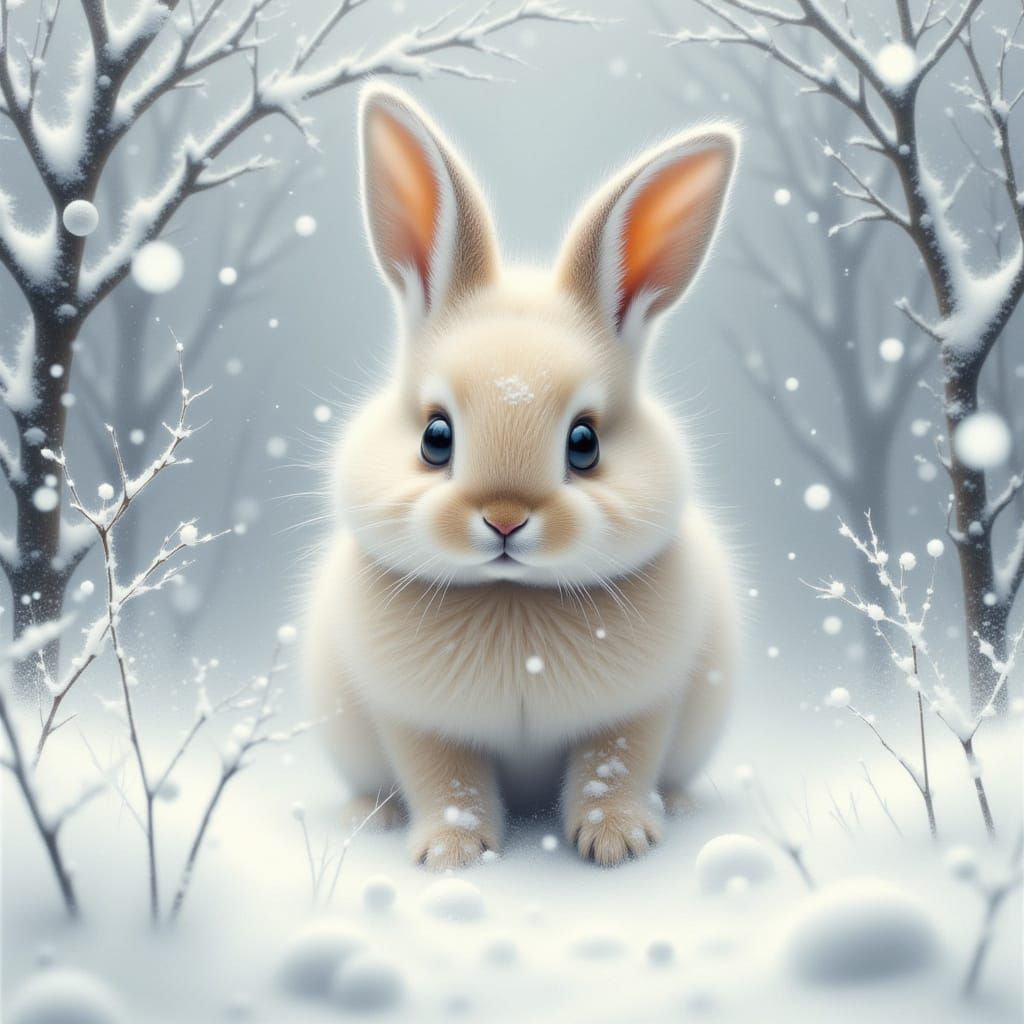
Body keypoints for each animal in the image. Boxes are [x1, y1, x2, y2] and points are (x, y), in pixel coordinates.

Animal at [305, 83, 741, 869]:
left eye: (584, 443)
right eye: (435, 437)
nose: (504, 518)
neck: (512, 598)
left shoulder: (639, 708)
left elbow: (615, 767)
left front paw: (618, 843)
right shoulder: (416, 721)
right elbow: (443, 778)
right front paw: (449, 852)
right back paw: (369, 815)